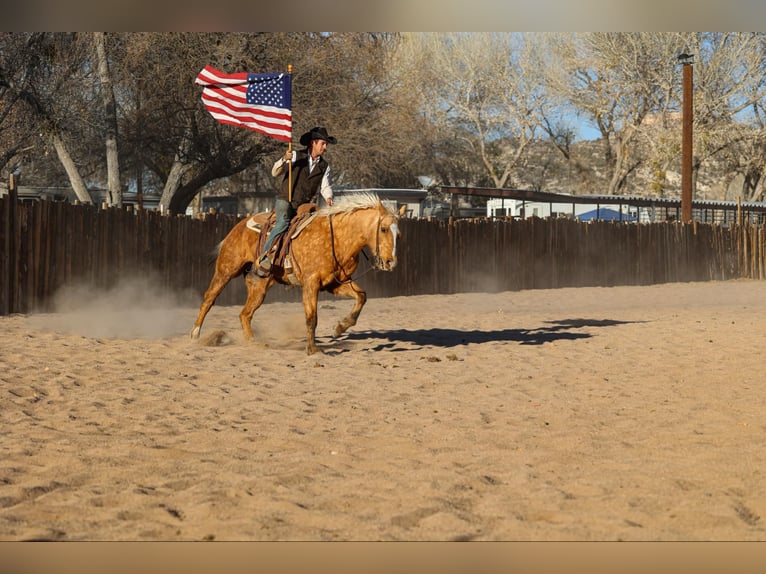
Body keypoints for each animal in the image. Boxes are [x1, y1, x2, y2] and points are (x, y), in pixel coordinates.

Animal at [192, 195, 408, 356]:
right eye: (383, 229)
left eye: (399, 235)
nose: (391, 262)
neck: (338, 237)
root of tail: (238, 226)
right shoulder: (311, 283)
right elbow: (312, 317)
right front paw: (313, 349)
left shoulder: (335, 283)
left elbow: (361, 296)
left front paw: (340, 327)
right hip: (226, 269)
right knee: (209, 298)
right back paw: (195, 335)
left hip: (260, 285)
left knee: (245, 313)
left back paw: (252, 343)